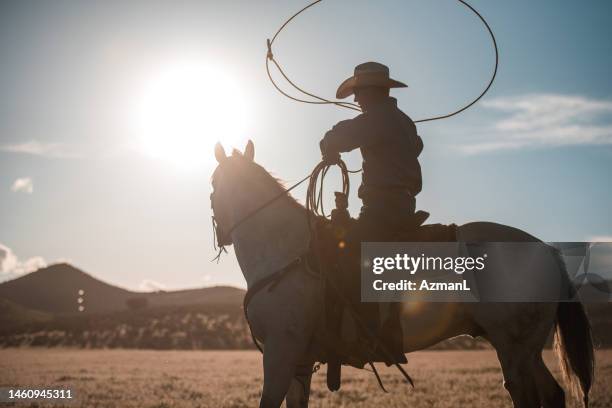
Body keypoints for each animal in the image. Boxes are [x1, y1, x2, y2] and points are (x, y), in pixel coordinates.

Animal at [210, 141, 592, 408]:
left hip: (513, 349)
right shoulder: (300, 357)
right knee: (552, 394)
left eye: (213, 184)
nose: (221, 235)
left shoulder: (280, 351)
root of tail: (546, 250)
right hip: (526, 349)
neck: (284, 247)